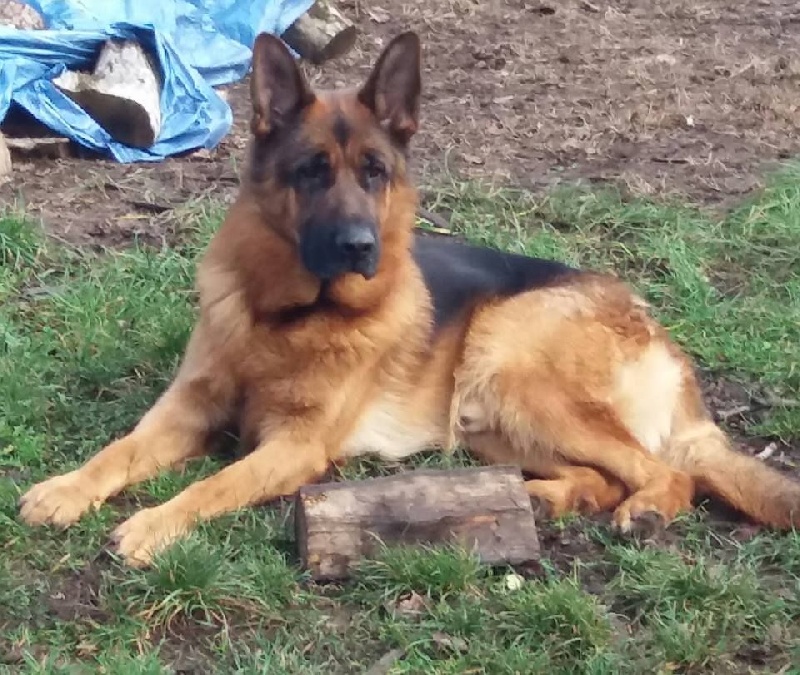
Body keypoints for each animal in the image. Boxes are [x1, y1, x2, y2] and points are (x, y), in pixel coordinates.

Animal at [17, 34, 800, 568]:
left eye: (374, 172)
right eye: (311, 171)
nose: (359, 246)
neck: (286, 318)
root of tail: (656, 330)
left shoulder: (294, 449)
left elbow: (211, 487)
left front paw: (152, 523)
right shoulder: (184, 408)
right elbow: (118, 450)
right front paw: (65, 488)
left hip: (510, 365)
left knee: (669, 472)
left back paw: (641, 512)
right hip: (492, 418)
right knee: (601, 476)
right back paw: (539, 497)